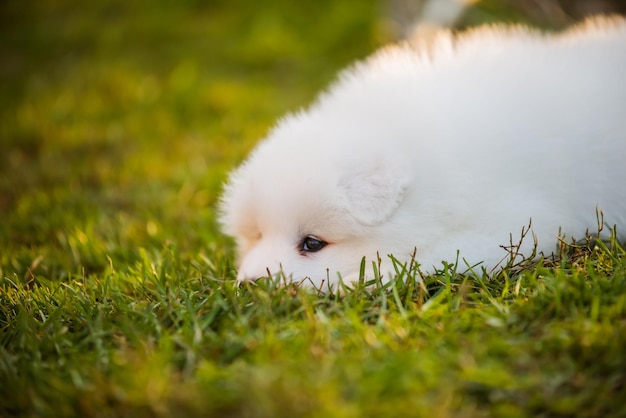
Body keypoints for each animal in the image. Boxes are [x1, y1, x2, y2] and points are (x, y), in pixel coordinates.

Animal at [219, 17, 624, 290]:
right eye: (258, 234)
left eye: (313, 244)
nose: (249, 285)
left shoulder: (514, 225)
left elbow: (428, 256)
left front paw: (357, 282)